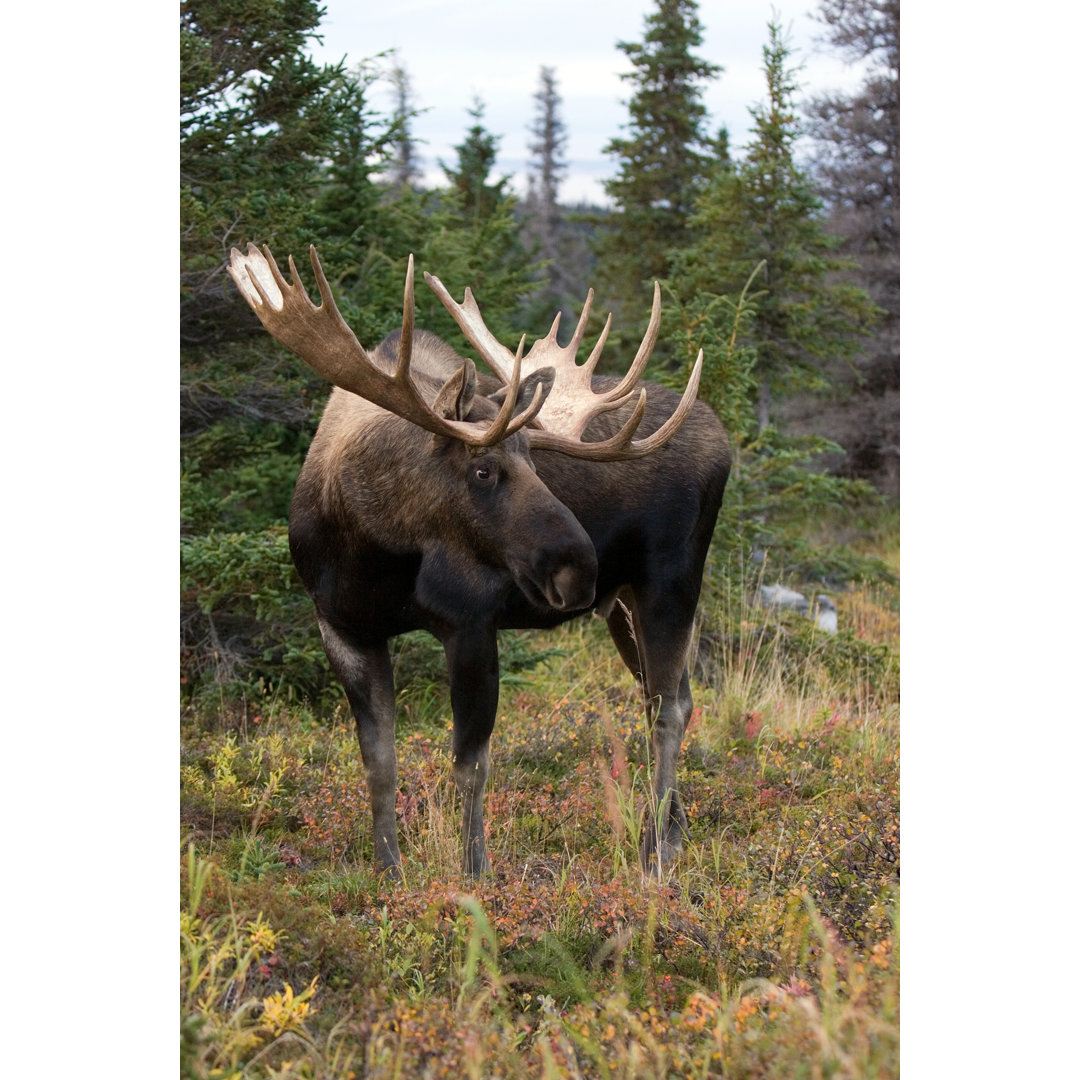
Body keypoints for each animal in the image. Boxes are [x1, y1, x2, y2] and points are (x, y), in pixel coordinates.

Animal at [230, 247, 734, 876]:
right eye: (483, 469)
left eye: (536, 463)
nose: (579, 568)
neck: (370, 549)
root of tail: (724, 441)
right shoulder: (342, 628)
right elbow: (378, 762)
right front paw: (388, 871)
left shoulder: (470, 624)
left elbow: (471, 765)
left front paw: (476, 873)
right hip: (624, 604)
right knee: (666, 698)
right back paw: (673, 834)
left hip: (671, 582)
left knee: (667, 710)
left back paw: (652, 855)